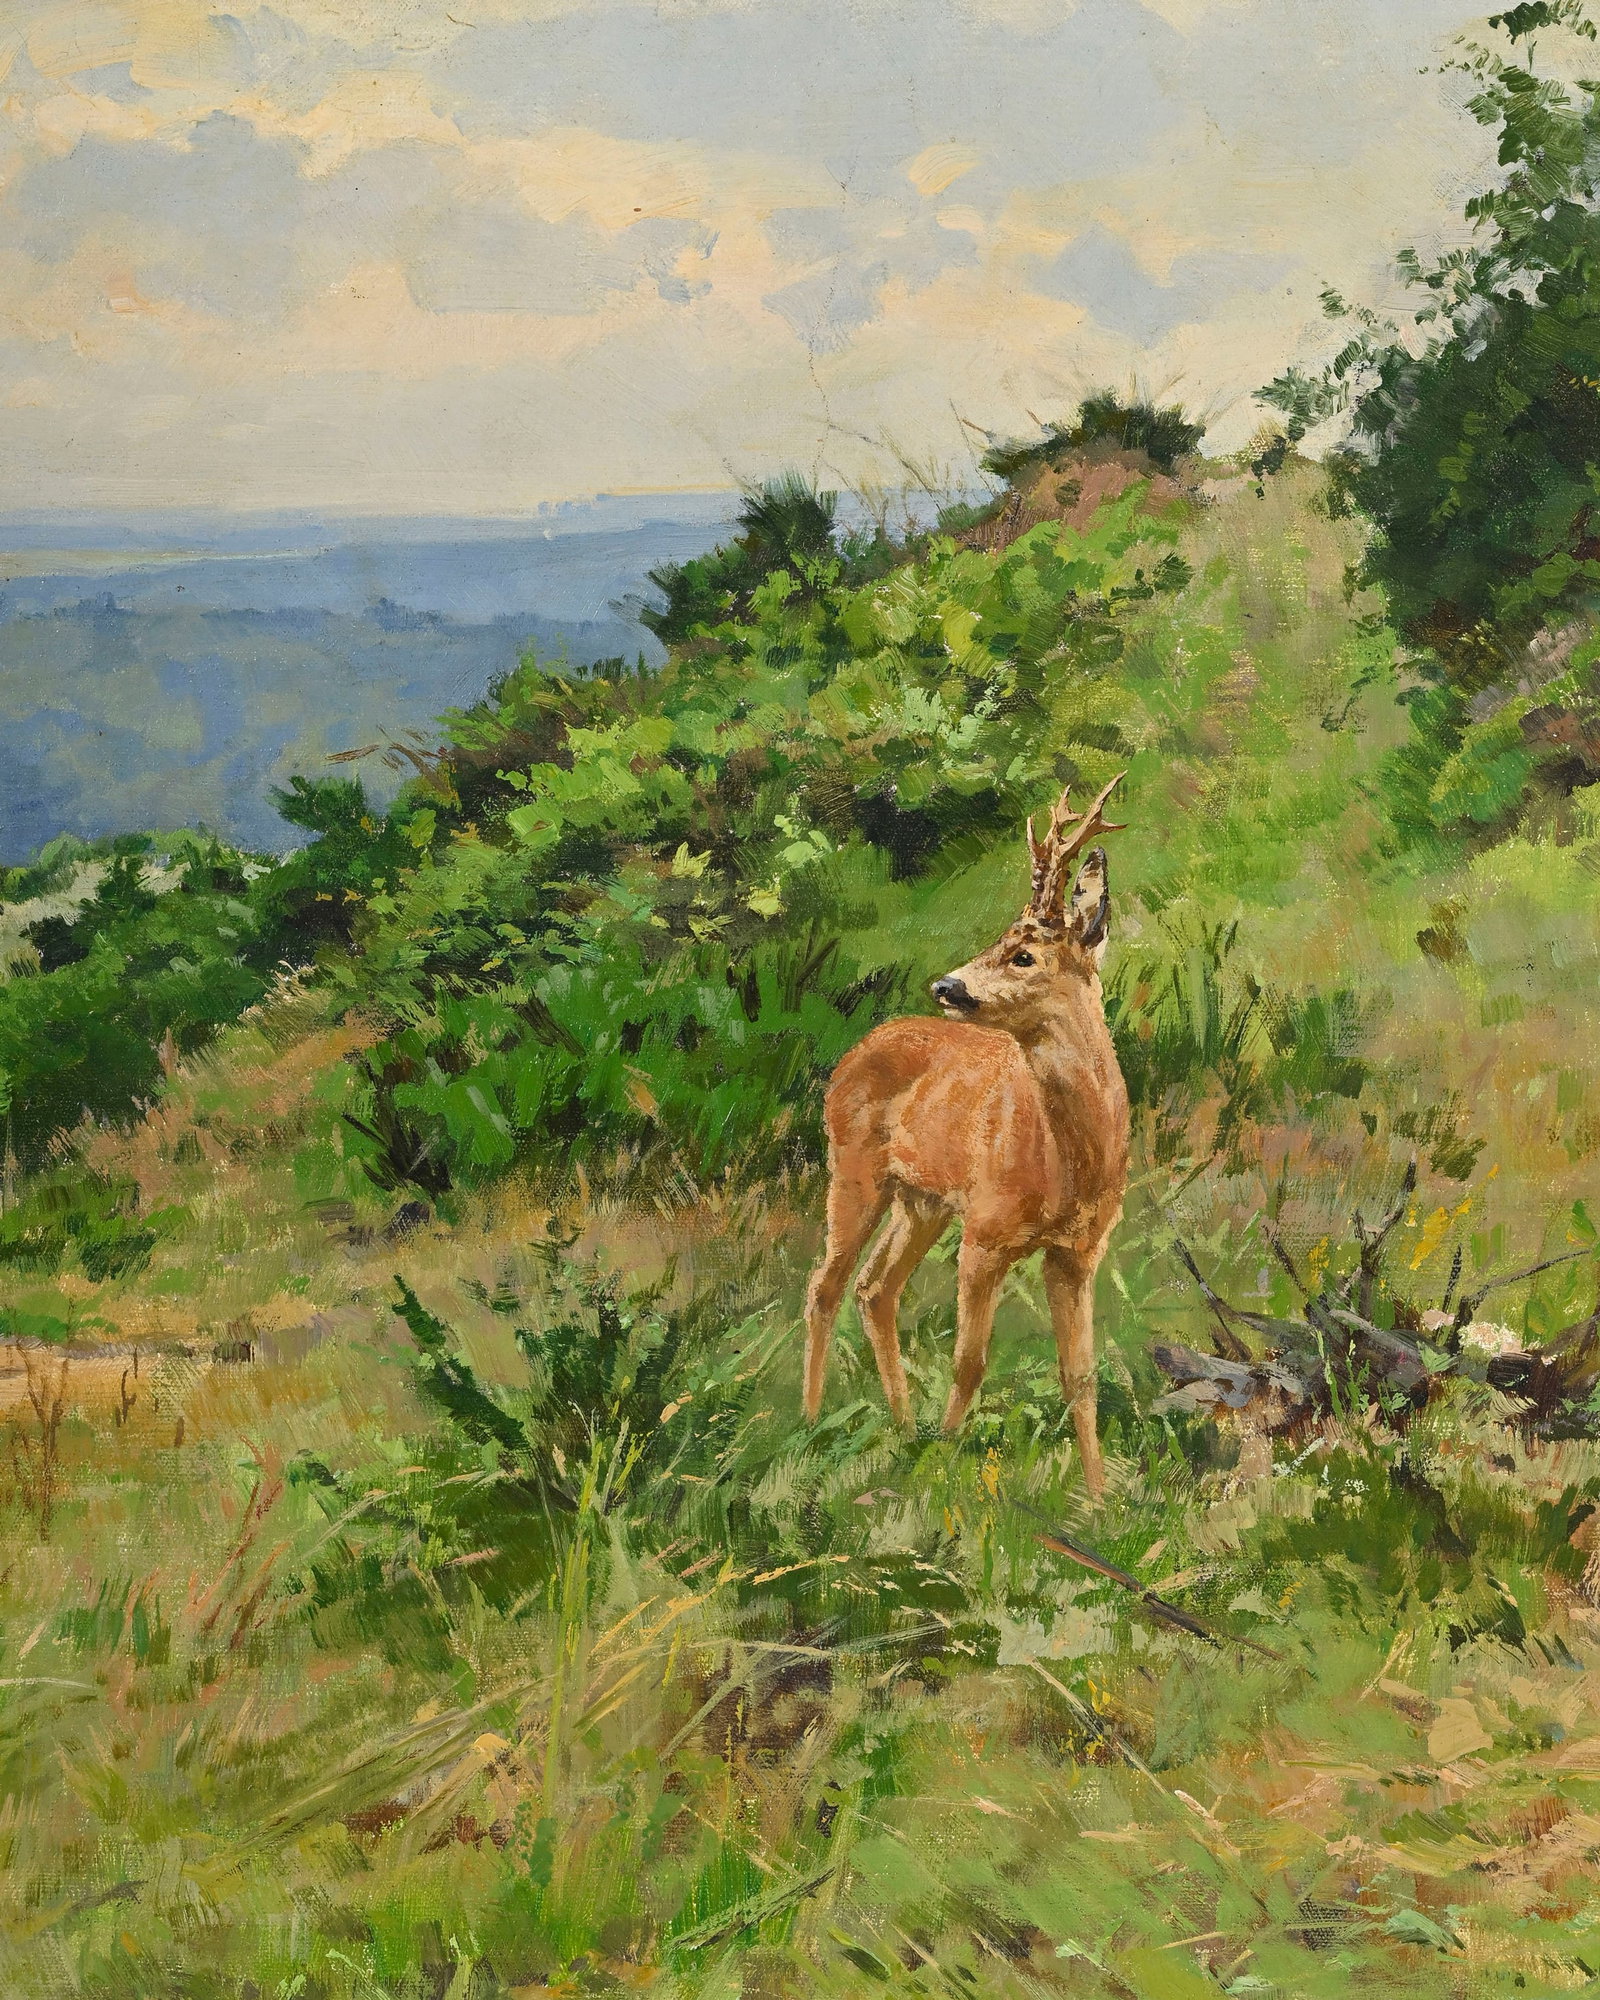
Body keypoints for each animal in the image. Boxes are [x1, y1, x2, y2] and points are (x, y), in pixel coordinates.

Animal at [803, 774, 1131, 1497]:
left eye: (1023, 954)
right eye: (998, 940)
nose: (946, 984)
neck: (1068, 1162)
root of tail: (854, 1051)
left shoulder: (1079, 1250)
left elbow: (1080, 1376)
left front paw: (1099, 1499)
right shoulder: (985, 1233)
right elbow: (969, 1361)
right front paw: (945, 1462)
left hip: (921, 1200)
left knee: (875, 1289)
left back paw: (901, 1427)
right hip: (854, 1169)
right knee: (826, 1284)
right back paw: (812, 1427)